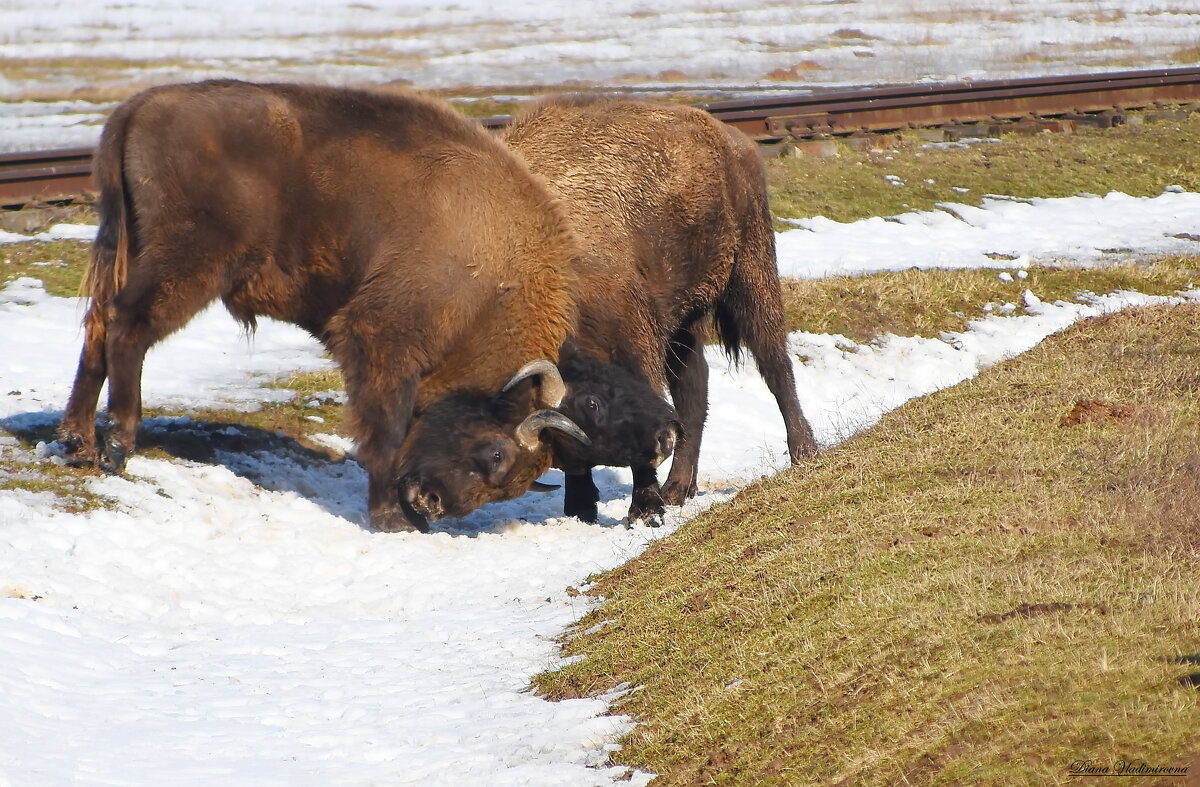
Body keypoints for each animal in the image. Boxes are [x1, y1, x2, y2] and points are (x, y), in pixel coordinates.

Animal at [56, 79, 590, 532]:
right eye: (496, 454)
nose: (429, 504)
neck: (495, 279)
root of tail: (138, 107)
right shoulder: (378, 339)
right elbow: (386, 430)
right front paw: (389, 519)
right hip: (187, 267)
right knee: (127, 326)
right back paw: (118, 446)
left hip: (130, 253)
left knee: (97, 326)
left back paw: (77, 444)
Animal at [501, 95, 820, 523]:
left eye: (594, 404)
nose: (659, 444)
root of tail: (735, 140)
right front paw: (582, 506)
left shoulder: (635, 338)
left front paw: (643, 507)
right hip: (685, 322)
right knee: (694, 392)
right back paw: (678, 488)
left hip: (751, 275)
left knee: (774, 366)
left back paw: (803, 454)